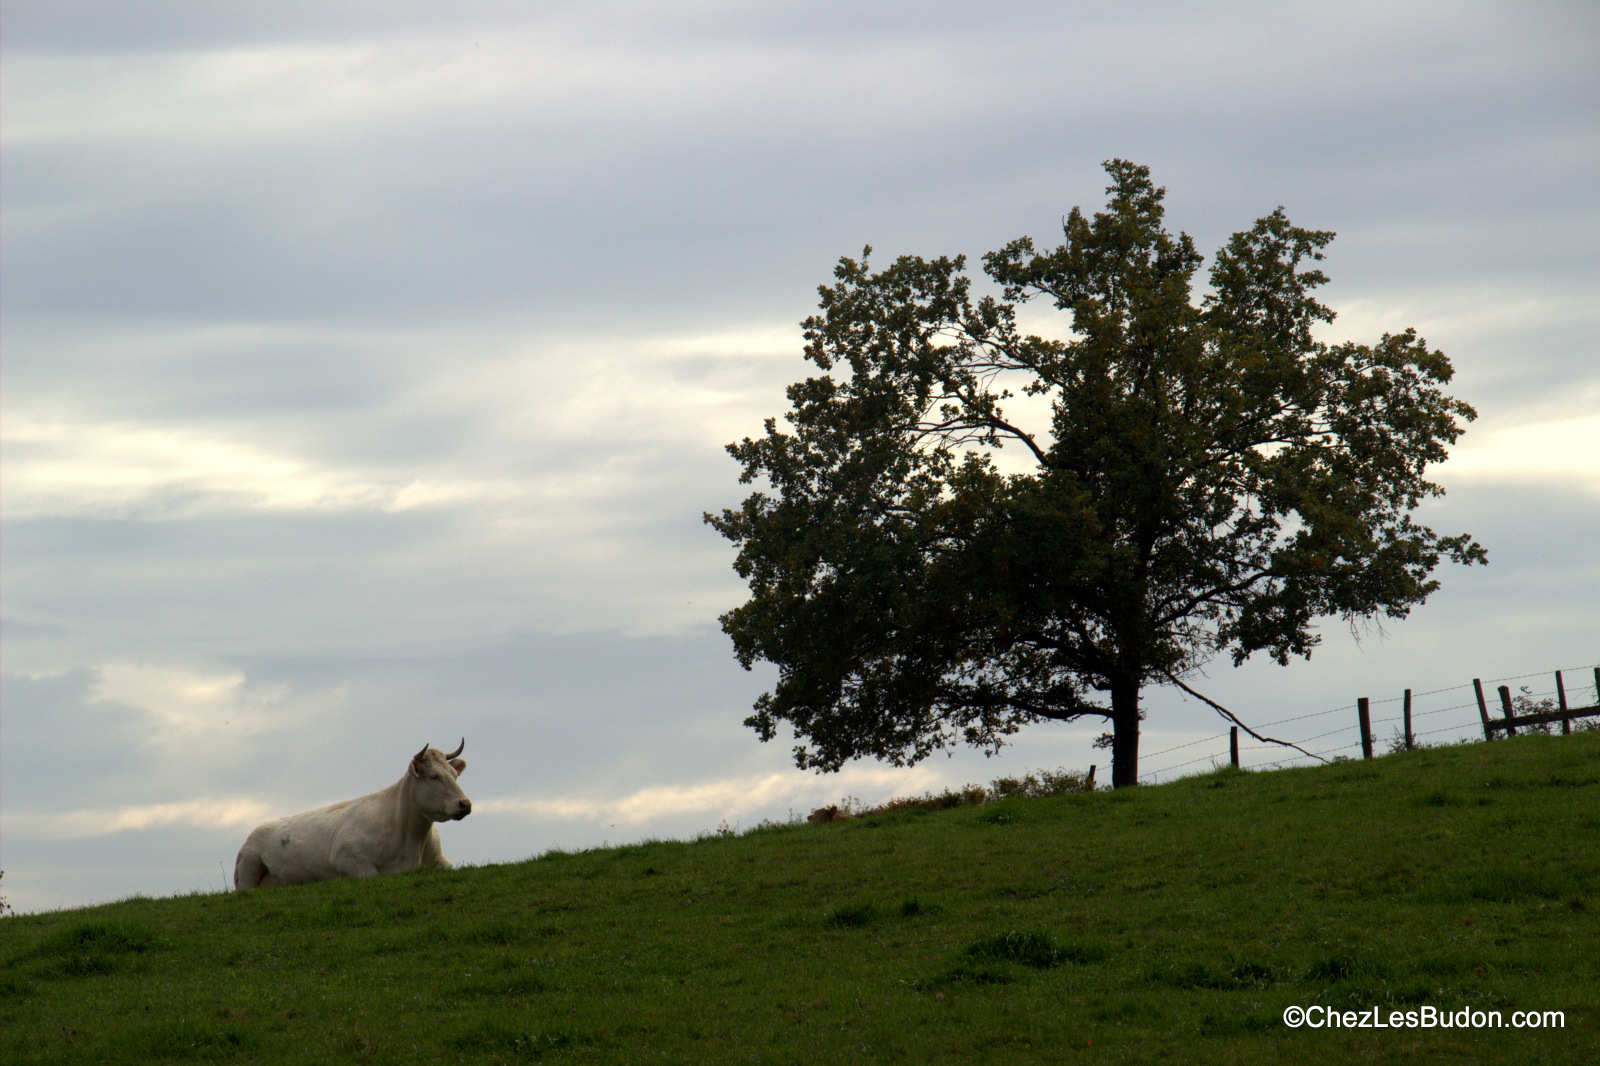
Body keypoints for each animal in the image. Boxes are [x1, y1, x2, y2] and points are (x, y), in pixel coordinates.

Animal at [233, 736, 467, 883]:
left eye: (454, 775)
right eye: (434, 776)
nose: (465, 803)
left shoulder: (440, 860)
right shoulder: (345, 855)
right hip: (249, 866)